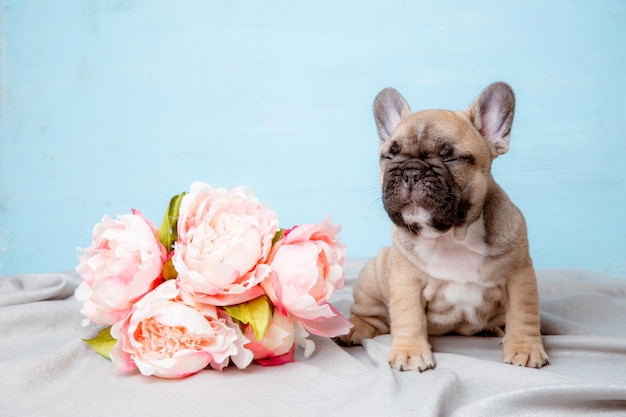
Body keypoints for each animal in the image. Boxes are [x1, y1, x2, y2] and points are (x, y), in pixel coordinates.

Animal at [336, 81, 544, 370]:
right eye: (389, 157)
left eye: (450, 159)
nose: (410, 171)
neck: (452, 237)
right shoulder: (406, 281)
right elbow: (409, 316)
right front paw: (410, 352)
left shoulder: (519, 276)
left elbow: (523, 314)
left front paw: (525, 348)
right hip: (372, 275)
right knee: (372, 316)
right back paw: (353, 328)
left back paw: (491, 329)